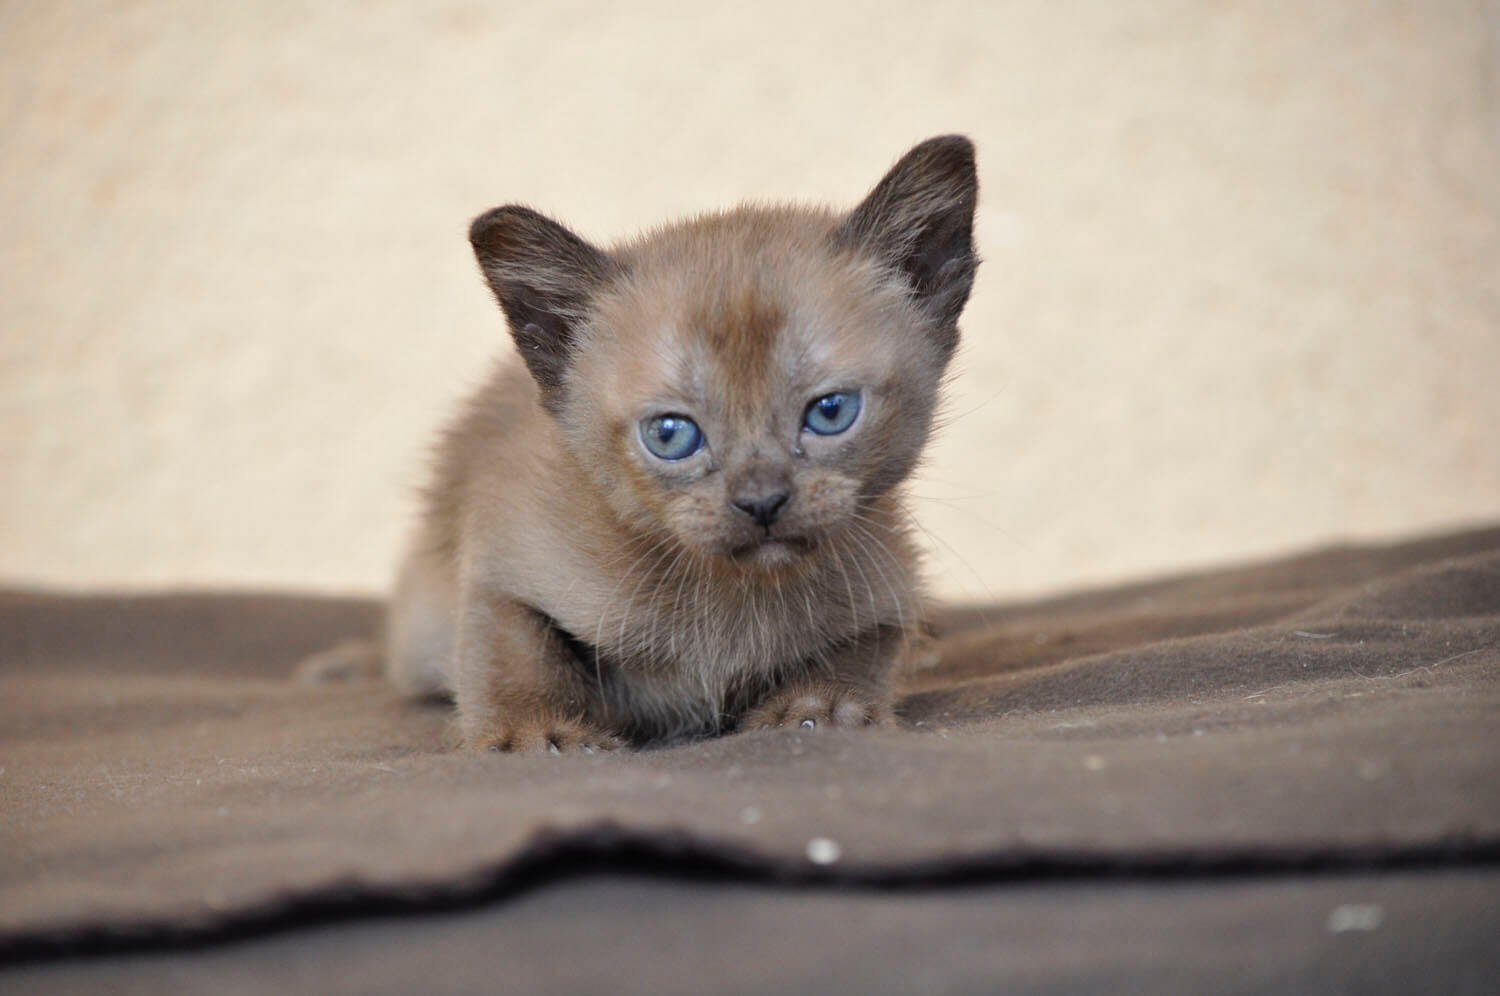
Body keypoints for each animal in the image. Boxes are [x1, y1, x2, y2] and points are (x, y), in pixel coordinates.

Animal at [387, 136, 978, 750]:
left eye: (830, 411)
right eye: (670, 435)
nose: (761, 502)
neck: (735, 596)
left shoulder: (887, 586)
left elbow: (865, 655)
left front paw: (822, 709)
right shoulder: (500, 570)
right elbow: (514, 656)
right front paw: (537, 736)